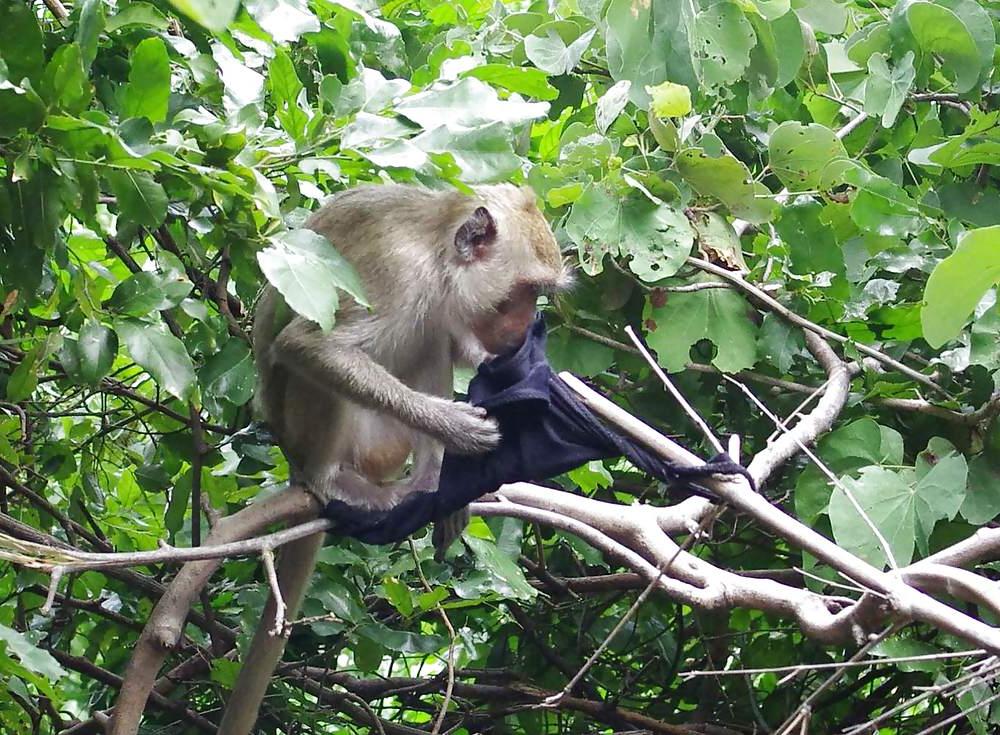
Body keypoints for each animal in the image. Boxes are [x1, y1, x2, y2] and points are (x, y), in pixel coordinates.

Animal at [217, 183, 572, 734]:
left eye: (538, 293)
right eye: (523, 291)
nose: (524, 328)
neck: (436, 257)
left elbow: (445, 346)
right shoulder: (394, 275)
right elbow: (311, 346)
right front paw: (455, 427)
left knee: (431, 343)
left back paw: (432, 482)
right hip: (322, 436)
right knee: (317, 373)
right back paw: (331, 480)